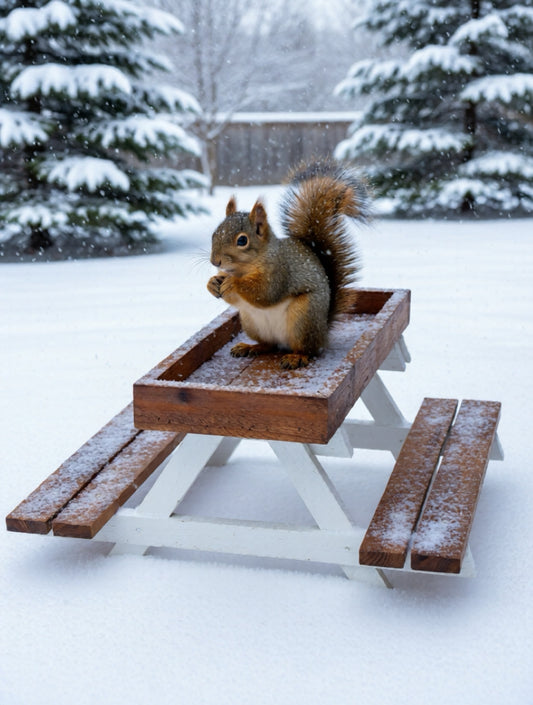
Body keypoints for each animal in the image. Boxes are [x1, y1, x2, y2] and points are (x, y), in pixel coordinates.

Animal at [207, 158, 371, 369]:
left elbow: (265, 293)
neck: (243, 270)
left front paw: (233, 284)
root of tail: (323, 333)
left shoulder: (280, 271)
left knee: (308, 350)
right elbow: (235, 299)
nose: (214, 261)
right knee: (269, 344)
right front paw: (212, 283)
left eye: (242, 240)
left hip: (303, 318)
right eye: (214, 233)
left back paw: (296, 357)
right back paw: (250, 347)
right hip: (251, 322)